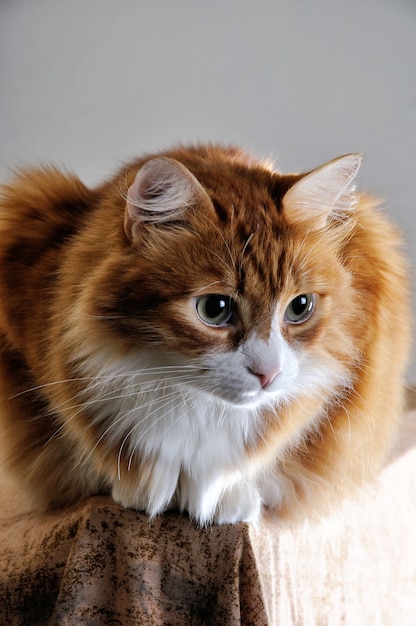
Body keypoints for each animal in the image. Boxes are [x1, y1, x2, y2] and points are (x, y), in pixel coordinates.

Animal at [0, 145, 410, 520]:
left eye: (300, 306)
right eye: (215, 308)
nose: (268, 374)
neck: (197, 404)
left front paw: (228, 494)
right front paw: (142, 484)